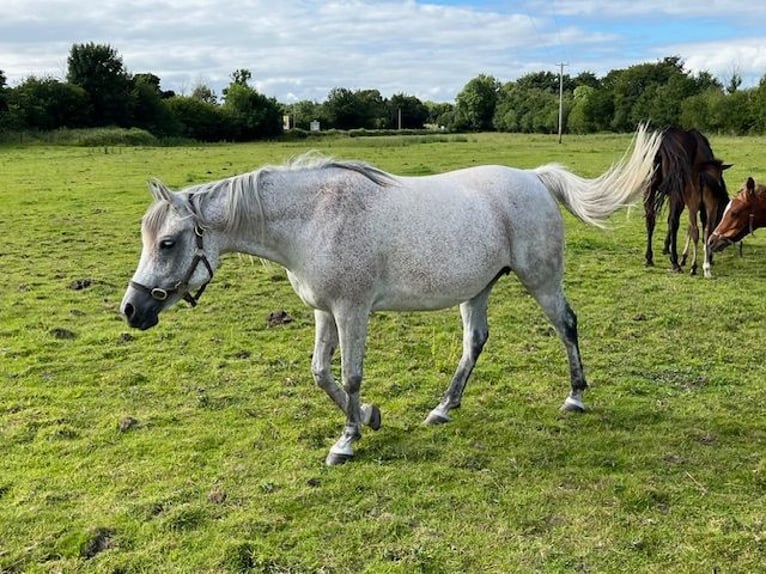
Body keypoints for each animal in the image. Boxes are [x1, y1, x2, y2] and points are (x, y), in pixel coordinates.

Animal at [123, 127, 664, 468]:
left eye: (167, 242)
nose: (132, 310)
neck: (313, 219)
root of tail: (534, 178)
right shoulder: (324, 312)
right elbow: (321, 374)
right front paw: (368, 417)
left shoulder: (352, 311)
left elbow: (350, 375)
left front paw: (348, 441)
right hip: (478, 289)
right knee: (475, 342)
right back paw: (443, 408)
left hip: (542, 280)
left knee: (566, 325)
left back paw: (575, 397)